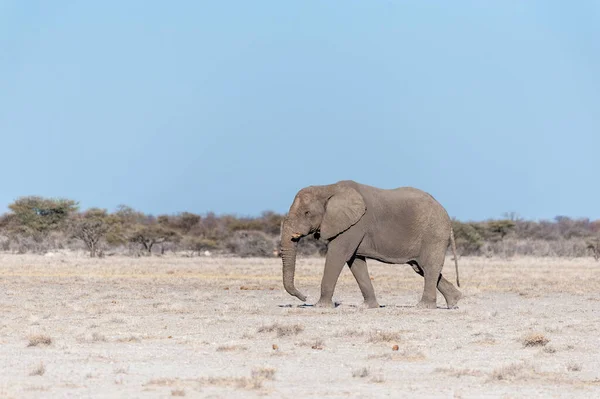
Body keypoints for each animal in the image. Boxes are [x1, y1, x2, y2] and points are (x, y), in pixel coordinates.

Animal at [278, 180, 462, 310]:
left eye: (307, 213)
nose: (305, 298)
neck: (328, 188)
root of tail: (447, 216)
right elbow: (355, 261)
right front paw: (369, 306)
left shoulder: (355, 225)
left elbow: (338, 255)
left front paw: (320, 306)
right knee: (420, 268)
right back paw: (454, 301)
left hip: (434, 234)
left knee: (429, 268)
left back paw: (424, 307)